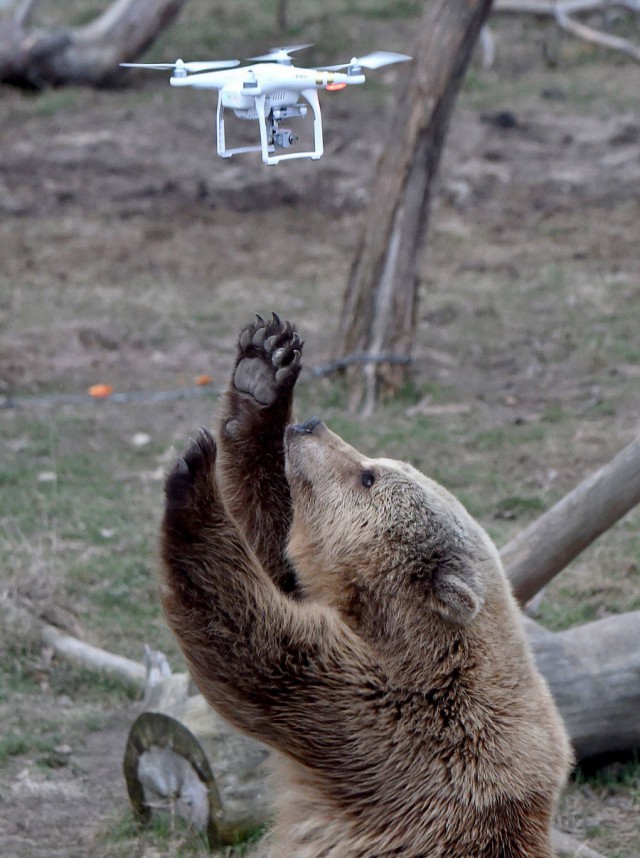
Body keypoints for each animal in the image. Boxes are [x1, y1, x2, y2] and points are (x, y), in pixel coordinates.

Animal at [160, 314, 568, 856]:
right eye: (375, 462)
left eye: (368, 475)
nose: (309, 425)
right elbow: (277, 554)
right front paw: (264, 367)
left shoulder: (389, 721)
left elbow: (253, 651)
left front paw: (195, 482)